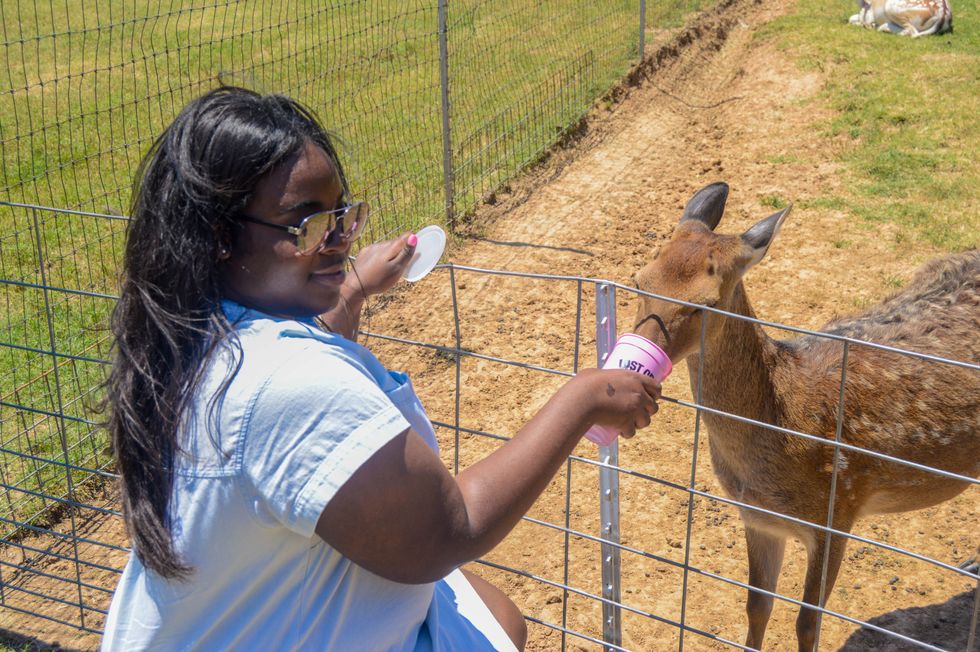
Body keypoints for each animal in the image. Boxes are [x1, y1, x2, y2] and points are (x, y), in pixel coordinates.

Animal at [632, 181, 976, 648]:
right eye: (639, 280)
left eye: (706, 304)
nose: (636, 357)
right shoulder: (758, 517)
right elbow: (757, 606)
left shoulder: (838, 510)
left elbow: (807, 621)